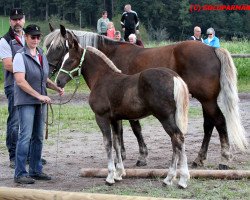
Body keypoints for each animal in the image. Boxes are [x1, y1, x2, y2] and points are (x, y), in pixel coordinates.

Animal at [43, 24, 248, 169]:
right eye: (48, 46)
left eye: (59, 47)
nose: (50, 71)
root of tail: (212, 49)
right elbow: (126, 129)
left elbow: (133, 129)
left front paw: (138, 156)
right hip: (207, 100)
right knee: (209, 125)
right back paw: (200, 158)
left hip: (207, 100)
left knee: (219, 122)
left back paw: (224, 159)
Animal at [56, 38, 189, 188]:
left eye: (71, 60)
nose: (58, 81)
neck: (102, 78)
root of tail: (175, 77)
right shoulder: (115, 119)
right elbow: (117, 143)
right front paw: (119, 173)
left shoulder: (101, 117)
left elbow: (108, 143)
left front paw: (110, 176)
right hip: (172, 117)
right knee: (176, 141)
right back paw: (171, 178)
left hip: (165, 117)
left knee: (178, 138)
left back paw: (180, 179)